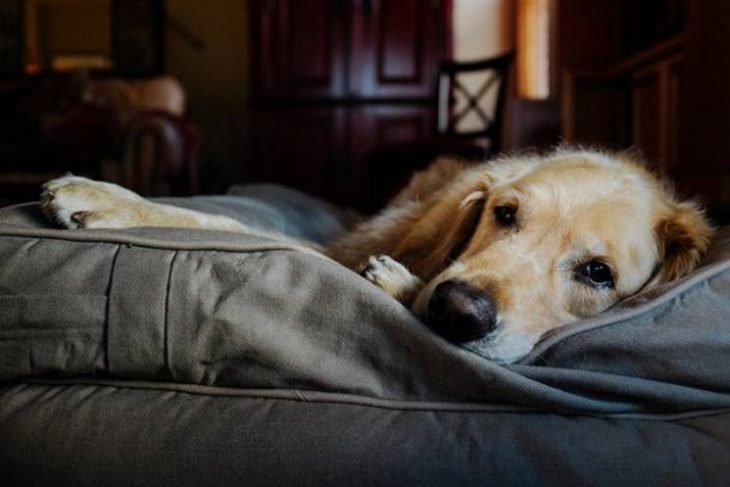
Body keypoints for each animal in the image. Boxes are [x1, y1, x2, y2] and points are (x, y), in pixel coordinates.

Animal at [38, 149, 712, 362]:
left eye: (598, 274)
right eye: (505, 214)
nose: (459, 310)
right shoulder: (338, 246)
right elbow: (219, 218)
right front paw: (106, 196)